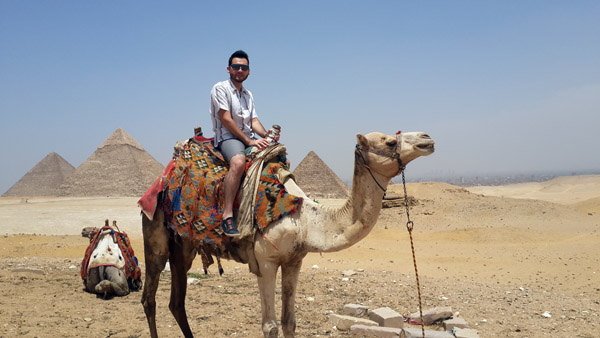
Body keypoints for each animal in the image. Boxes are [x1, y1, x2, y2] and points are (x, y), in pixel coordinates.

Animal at [142, 131, 436, 338]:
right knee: (149, 298)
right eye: (390, 141)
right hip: (155, 235)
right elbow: (270, 326)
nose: (427, 139)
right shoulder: (265, 263)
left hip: (184, 246)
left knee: (176, 302)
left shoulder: (294, 261)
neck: (305, 219)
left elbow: (290, 323)